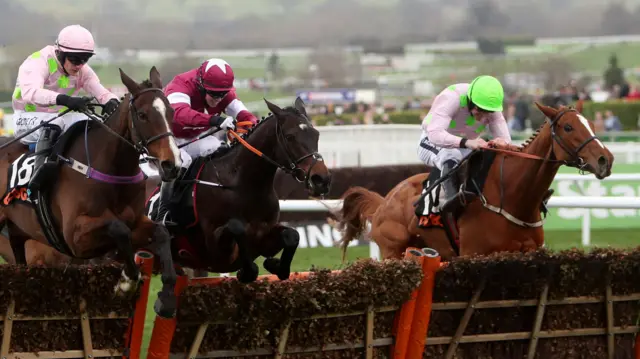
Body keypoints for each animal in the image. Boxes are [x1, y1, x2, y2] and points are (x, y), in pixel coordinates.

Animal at [0, 67, 182, 318]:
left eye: (171, 112)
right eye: (142, 115)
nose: (171, 165)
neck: (111, 169)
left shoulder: (137, 220)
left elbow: (161, 233)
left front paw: (166, 297)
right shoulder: (75, 237)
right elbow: (119, 229)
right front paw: (126, 282)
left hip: (18, 234)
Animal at [143, 97, 332, 282]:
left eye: (316, 134)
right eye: (290, 136)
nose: (322, 179)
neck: (244, 186)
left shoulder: (263, 236)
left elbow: (292, 236)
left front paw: (274, 264)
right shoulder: (213, 250)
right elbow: (237, 230)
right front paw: (247, 271)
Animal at [332, 101, 612, 262]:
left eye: (590, 123)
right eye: (568, 127)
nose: (605, 160)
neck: (512, 197)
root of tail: (383, 202)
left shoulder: (529, 251)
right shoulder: (473, 254)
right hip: (393, 251)